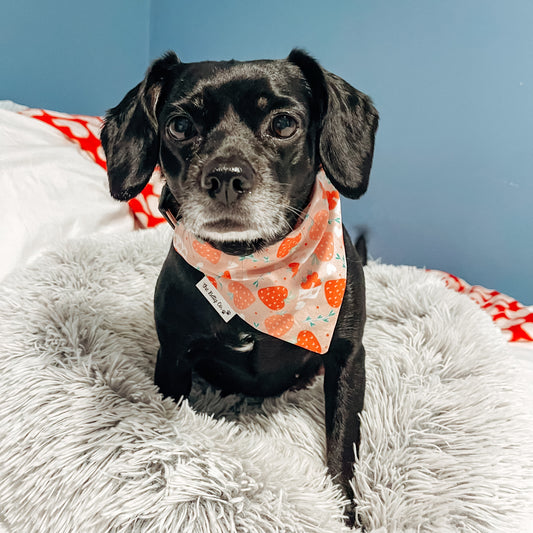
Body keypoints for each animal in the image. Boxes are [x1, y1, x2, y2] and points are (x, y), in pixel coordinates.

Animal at [102, 48, 378, 524]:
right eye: (180, 126)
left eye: (283, 123)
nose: (225, 177)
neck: (253, 268)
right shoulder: (173, 355)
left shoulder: (347, 356)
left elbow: (343, 447)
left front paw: (345, 515)